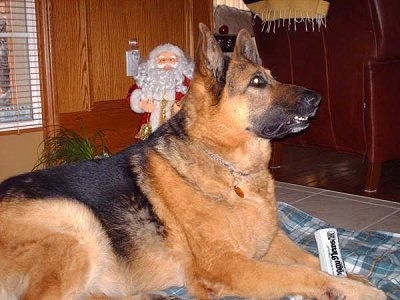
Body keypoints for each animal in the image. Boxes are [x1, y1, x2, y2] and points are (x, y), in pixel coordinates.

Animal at [0, 24, 388, 300]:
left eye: (273, 76)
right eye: (258, 82)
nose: (317, 98)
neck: (232, 169)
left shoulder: (271, 239)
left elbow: (309, 258)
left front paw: (351, 276)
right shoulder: (228, 265)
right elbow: (301, 273)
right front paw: (354, 290)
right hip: (76, 220)